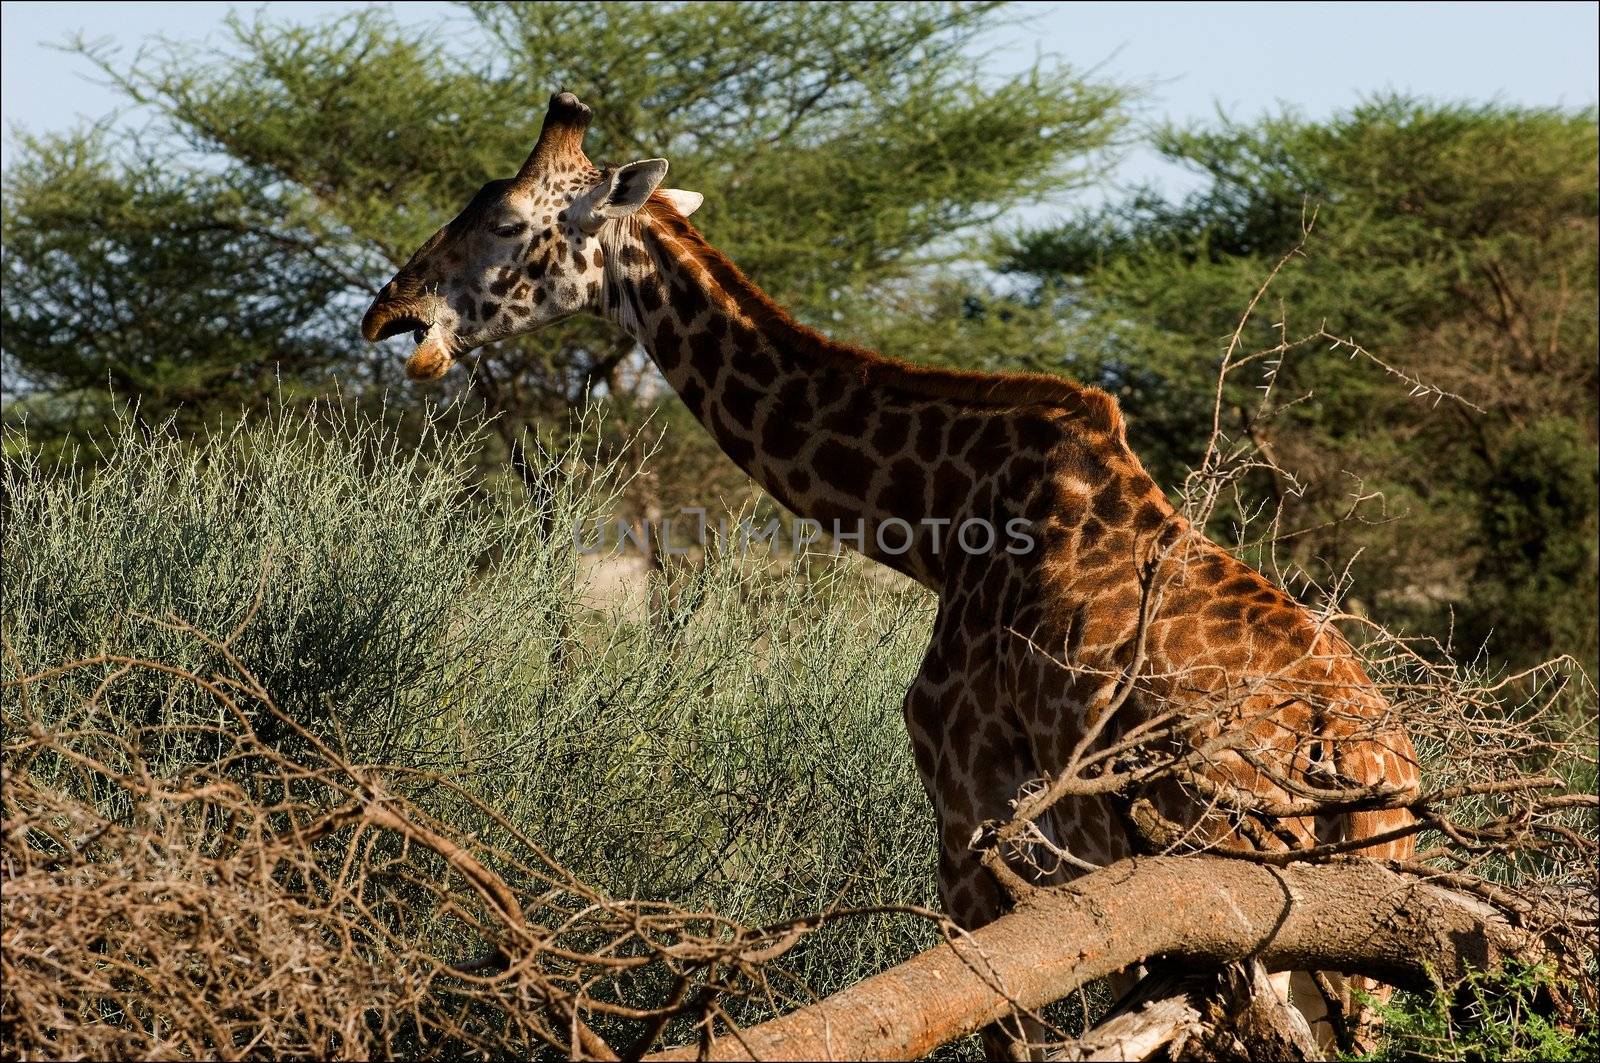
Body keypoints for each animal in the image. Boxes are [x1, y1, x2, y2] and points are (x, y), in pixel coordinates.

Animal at [366, 93, 1427, 1056]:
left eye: (508, 221)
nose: (389, 313)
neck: (937, 525)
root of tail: (1365, 761)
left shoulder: (969, 817)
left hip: (1244, 899)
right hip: (1355, 948)